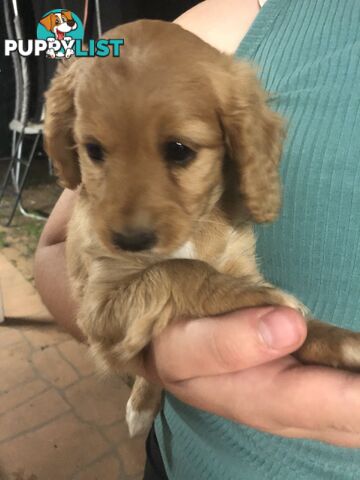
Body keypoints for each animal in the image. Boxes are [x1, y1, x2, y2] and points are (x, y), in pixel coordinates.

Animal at [43, 20, 360, 436]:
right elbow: (179, 269)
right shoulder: (99, 308)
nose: (130, 241)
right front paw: (261, 297)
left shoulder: (237, 259)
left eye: (179, 150)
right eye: (93, 150)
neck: (193, 230)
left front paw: (340, 342)